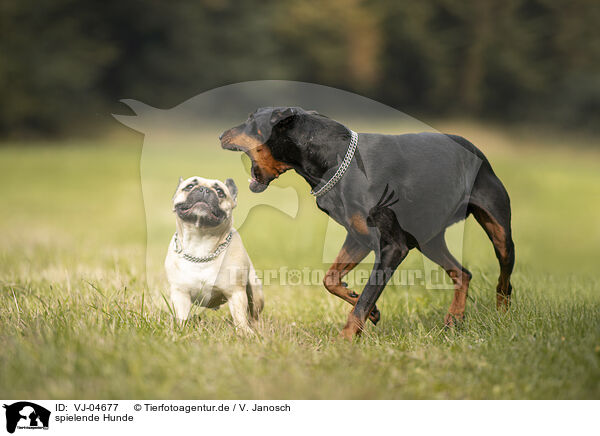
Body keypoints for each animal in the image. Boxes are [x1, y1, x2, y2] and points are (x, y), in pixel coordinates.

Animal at [166, 176, 264, 334]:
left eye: (220, 191)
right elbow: (182, 315)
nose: (204, 189)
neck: (201, 241)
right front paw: (180, 330)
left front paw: (244, 331)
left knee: (254, 314)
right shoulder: (180, 292)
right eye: (189, 186)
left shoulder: (236, 293)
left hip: (256, 292)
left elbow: (240, 315)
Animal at [220, 107, 516, 338]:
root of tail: (477, 151)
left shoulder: (392, 247)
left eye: (251, 120)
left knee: (504, 280)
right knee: (462, 273)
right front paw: (368, 309)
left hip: (499, 230)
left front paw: (345, 339)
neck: (337, 160)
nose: (221, 135)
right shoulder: (358, 237)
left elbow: (365, 297)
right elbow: (331, 279)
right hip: (429, 240)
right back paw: (454, 318)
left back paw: (501, 317)